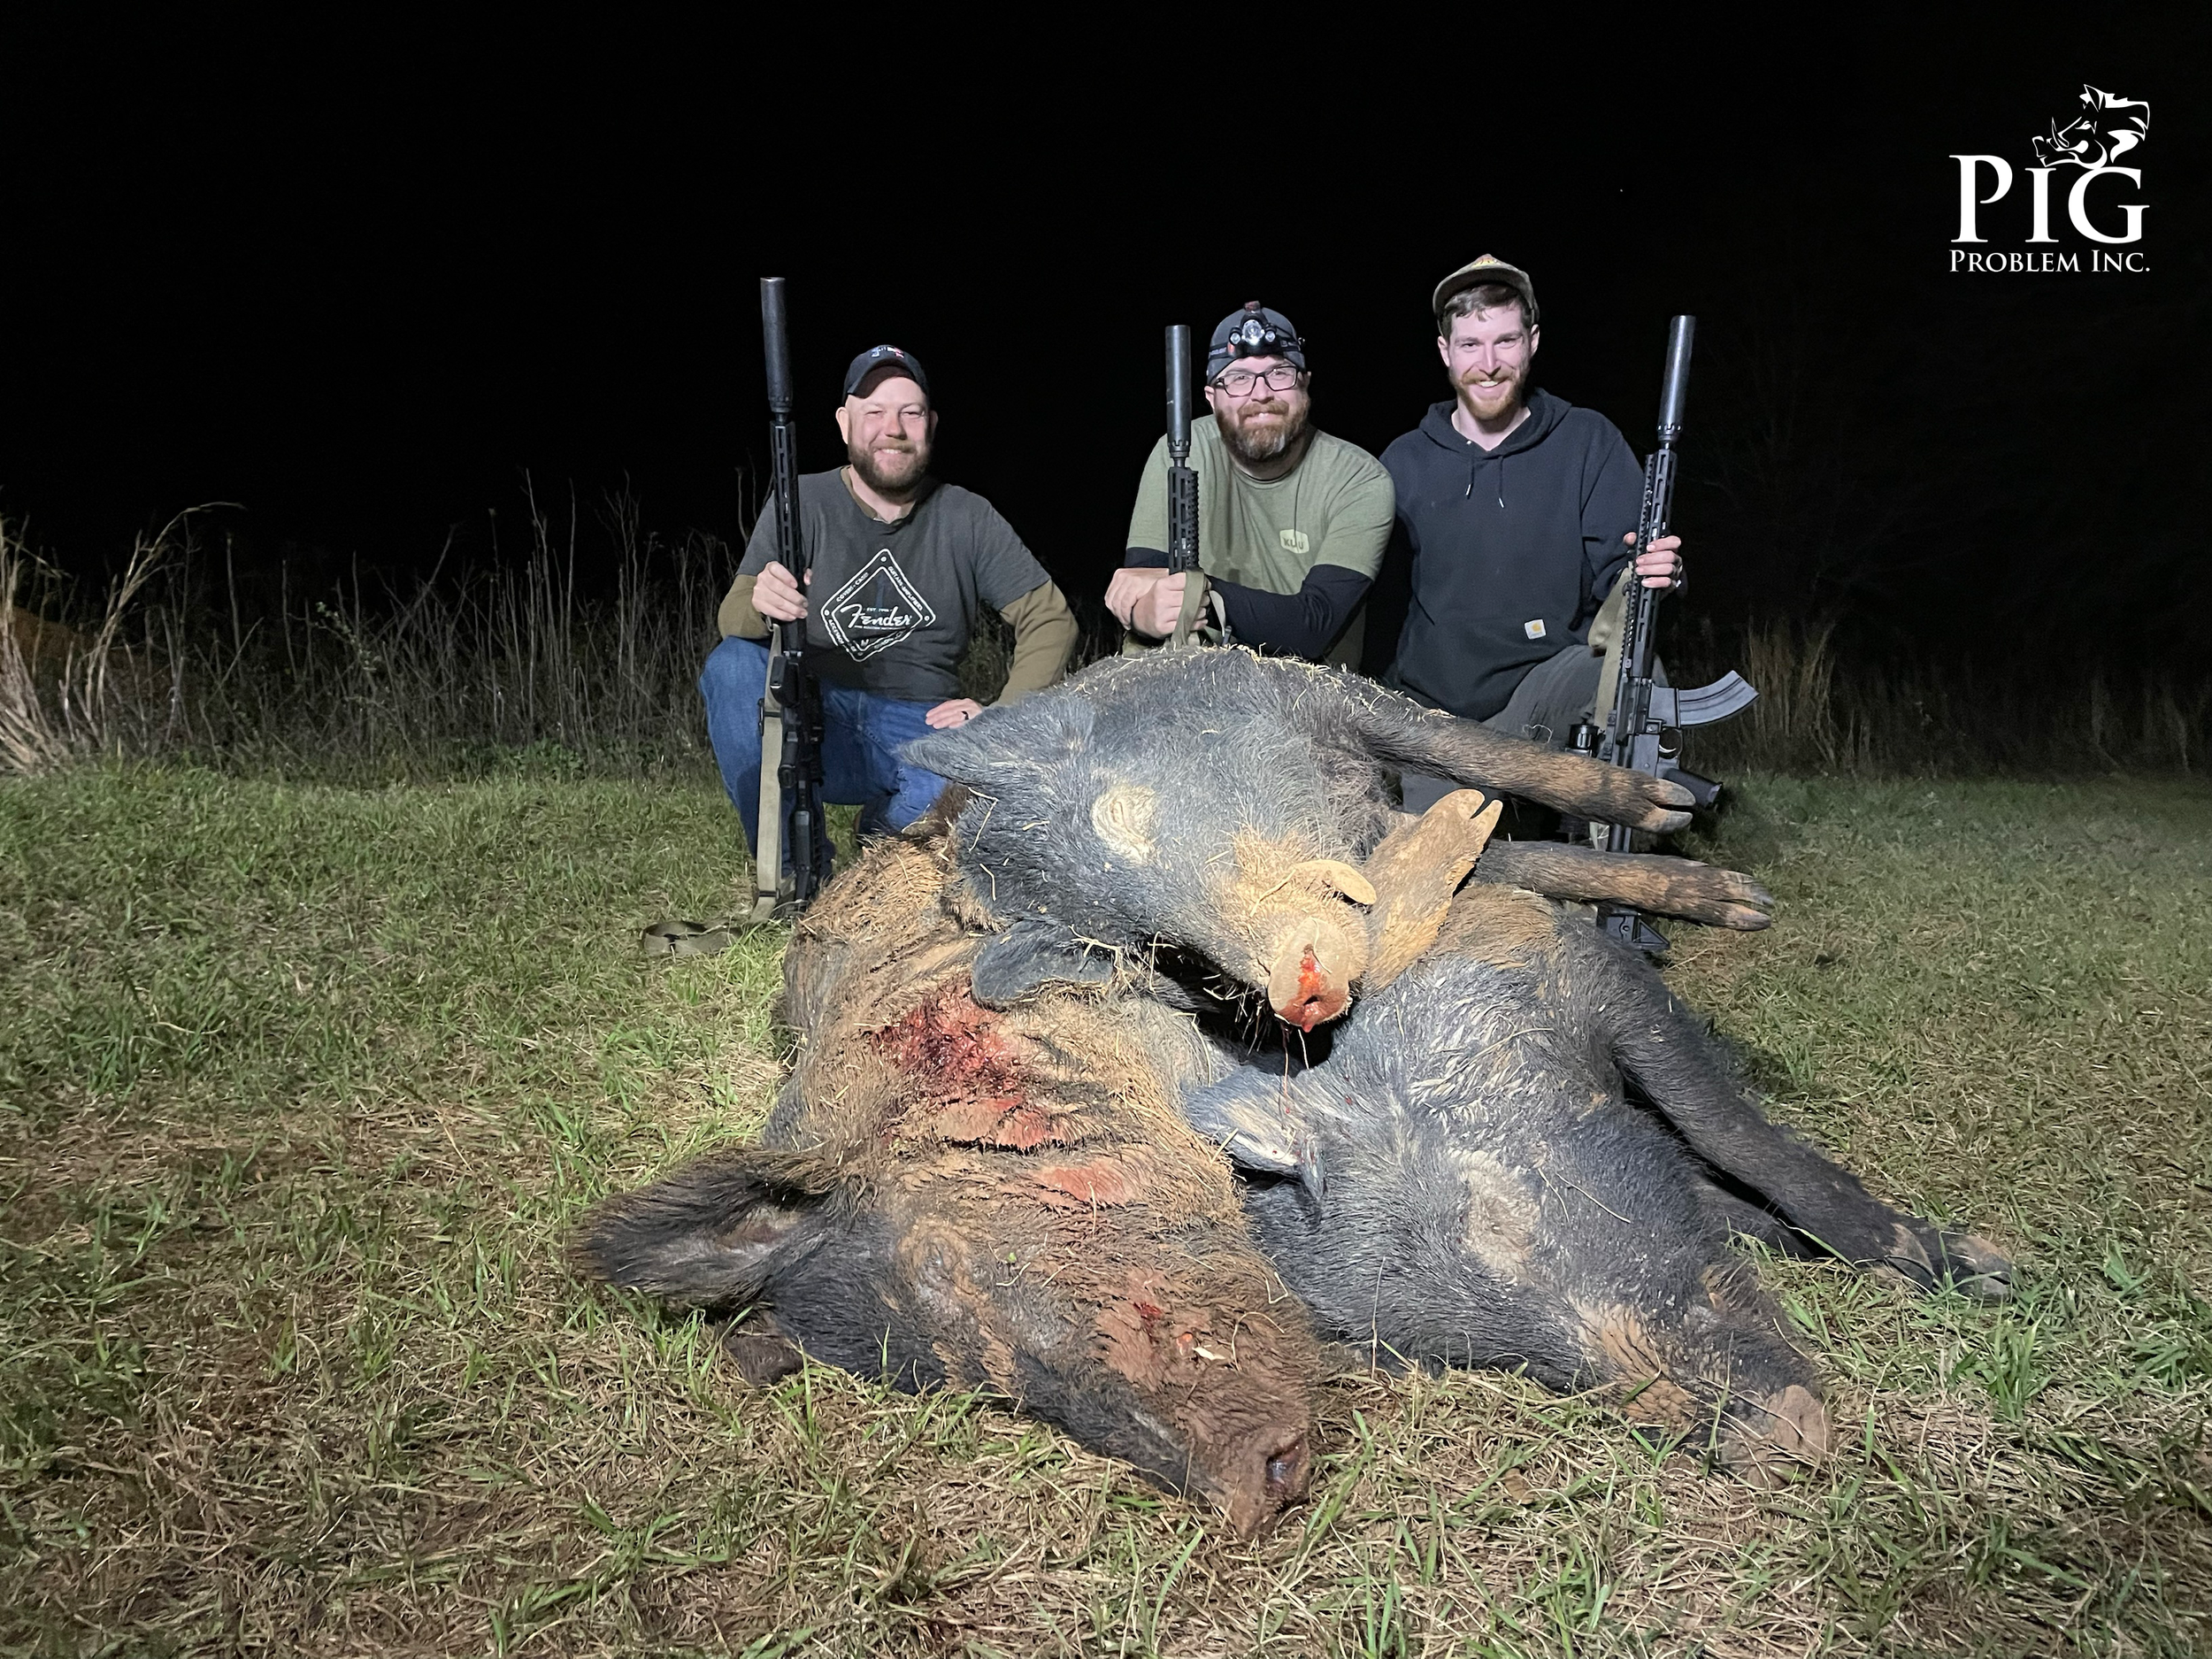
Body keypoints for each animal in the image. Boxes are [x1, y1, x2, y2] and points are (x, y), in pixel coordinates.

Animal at [905, 646, 1774, 1032]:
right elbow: (1533, 862)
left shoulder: (1340, 698)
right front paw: (1749, 906)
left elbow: (1479, 755)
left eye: (1128, 816)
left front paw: (1678, 823)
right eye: (1158, 951)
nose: (1301, 989)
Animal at [1181, 792, 2014, 1479]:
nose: (1781, 1442)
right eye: (1462, 1354)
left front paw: (1992, 1273)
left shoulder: (1600, 982)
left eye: (1494, 1219)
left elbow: (1739, 1137)